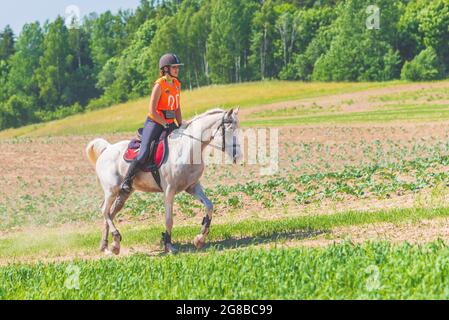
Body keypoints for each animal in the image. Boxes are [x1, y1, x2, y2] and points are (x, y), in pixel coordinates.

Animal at [84, 109, 242, 254]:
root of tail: (107, 149)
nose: (238, 156)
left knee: (110, 213)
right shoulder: (169, 190)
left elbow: (209, 206)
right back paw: (115, 240)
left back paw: (107, 245)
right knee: (104, 210)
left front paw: (200, 238)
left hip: (123, 194)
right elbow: (169, 220)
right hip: (111, 190)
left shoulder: (192, 187)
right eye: (229, 129)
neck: (187, 149)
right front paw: (169, 246)